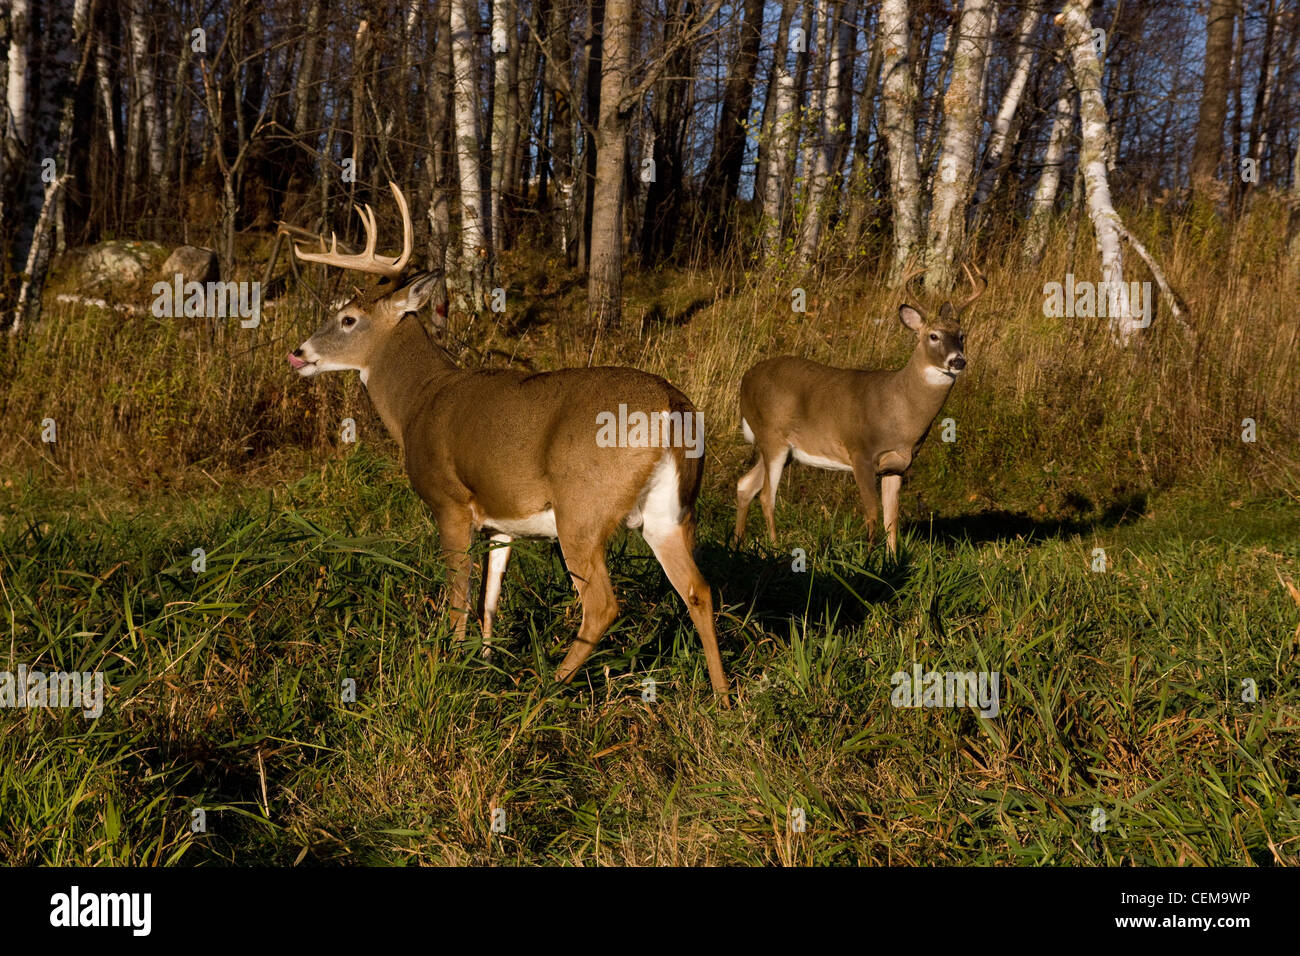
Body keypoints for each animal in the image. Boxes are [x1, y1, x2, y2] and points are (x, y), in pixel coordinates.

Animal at [287, 183, 733, 697]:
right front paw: (484, 662)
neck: (418, 402)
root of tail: (673, 407)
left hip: (582, 507)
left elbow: (458, 595)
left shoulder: (450, 502)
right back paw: (722, 698)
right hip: (671, 512)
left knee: (602, 605)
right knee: (699, 589)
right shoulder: (500, 520)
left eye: (348, 319)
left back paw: (547, 687)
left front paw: (449, 665)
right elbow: (490, 596)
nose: (297, 353)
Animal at [733, 265, 982, 556]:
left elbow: (891, 518)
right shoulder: (860, 452)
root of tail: (745, 380)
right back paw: (775, 548)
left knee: (745, 484)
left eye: (962, 336)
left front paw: (892, 558)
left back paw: (737, 545)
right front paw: (869, 558)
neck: (899, 410)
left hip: (780, 449)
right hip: (772, 437)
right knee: (765, 495)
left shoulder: (897, 465)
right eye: (933, 336)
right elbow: (872, 513)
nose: (958, 361)